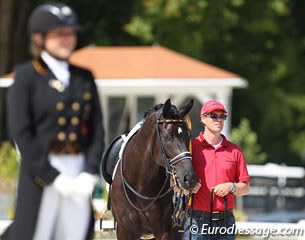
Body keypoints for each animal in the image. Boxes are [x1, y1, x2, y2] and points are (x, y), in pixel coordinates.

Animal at [110, 98, 196, 239]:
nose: (190, 178)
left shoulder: (164, 231)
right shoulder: (124, 231)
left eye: (188, 136)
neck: (139, 185)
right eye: (166, 138)